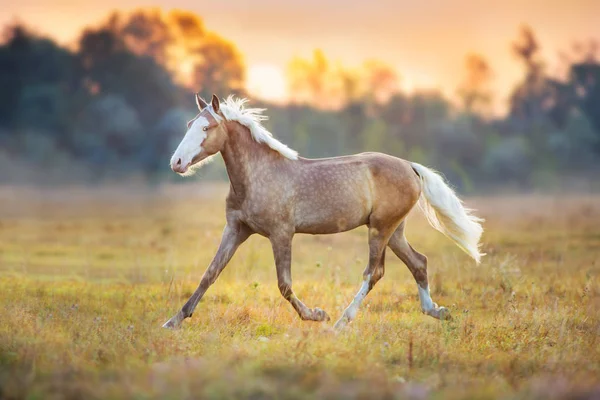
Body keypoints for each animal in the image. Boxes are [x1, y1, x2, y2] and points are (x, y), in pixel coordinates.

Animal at [163, 94, 482, 332]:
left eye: (206, 128)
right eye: (190, 124)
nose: (176, 162)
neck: (257, 175)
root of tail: (410, 166)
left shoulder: (281, 233)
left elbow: (284, 284)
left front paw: (316, 315)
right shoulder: (236, 229)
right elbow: (210, 274)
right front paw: (174, 321)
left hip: (380, 229)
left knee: (374, 272)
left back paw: (340, 322)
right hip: (394, 231)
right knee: (419, 263)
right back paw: (437, 311)